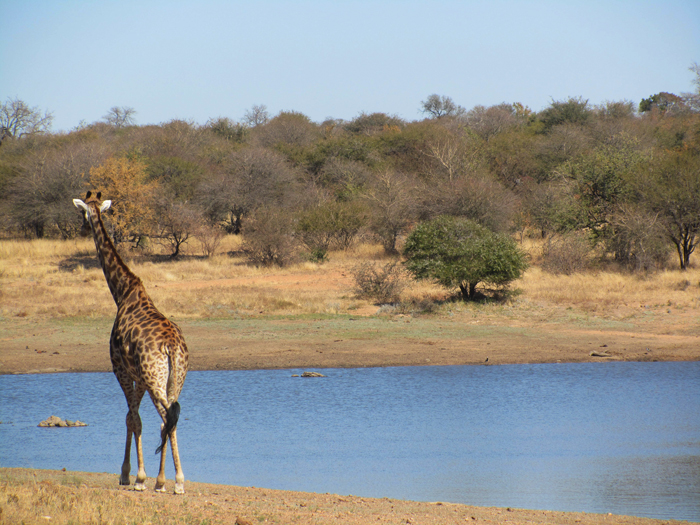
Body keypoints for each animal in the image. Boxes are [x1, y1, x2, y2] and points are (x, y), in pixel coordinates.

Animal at [73, 191, 189, 494]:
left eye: (82, 213)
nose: (82, 229)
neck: (122, 292)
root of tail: (172, 347)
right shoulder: (140, 377)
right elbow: (135, 418)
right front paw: (143, 476)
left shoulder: (121, 370)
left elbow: (132, 418)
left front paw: (132, 476)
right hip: (174, 379)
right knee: (169, 418)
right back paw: (168, 481)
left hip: (155, 378)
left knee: (166, 418)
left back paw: (174, 482)